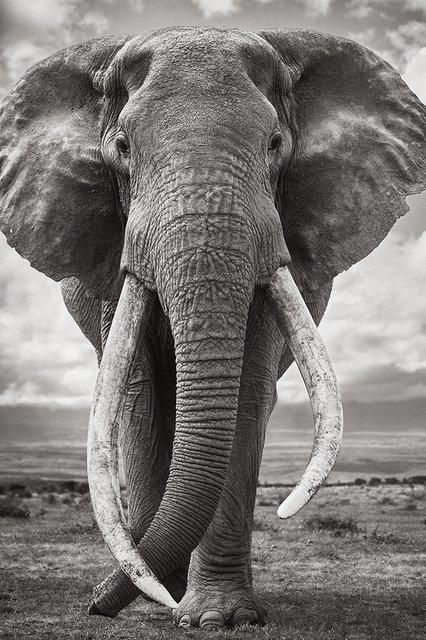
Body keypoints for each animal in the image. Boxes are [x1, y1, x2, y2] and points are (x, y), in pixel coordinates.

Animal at [0, 26, 424, 632]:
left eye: (275, 143)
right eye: (123, 149)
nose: (93, 605)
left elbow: (246, 387)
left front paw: (218, 618)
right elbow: (140, 393)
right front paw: (162, 596)